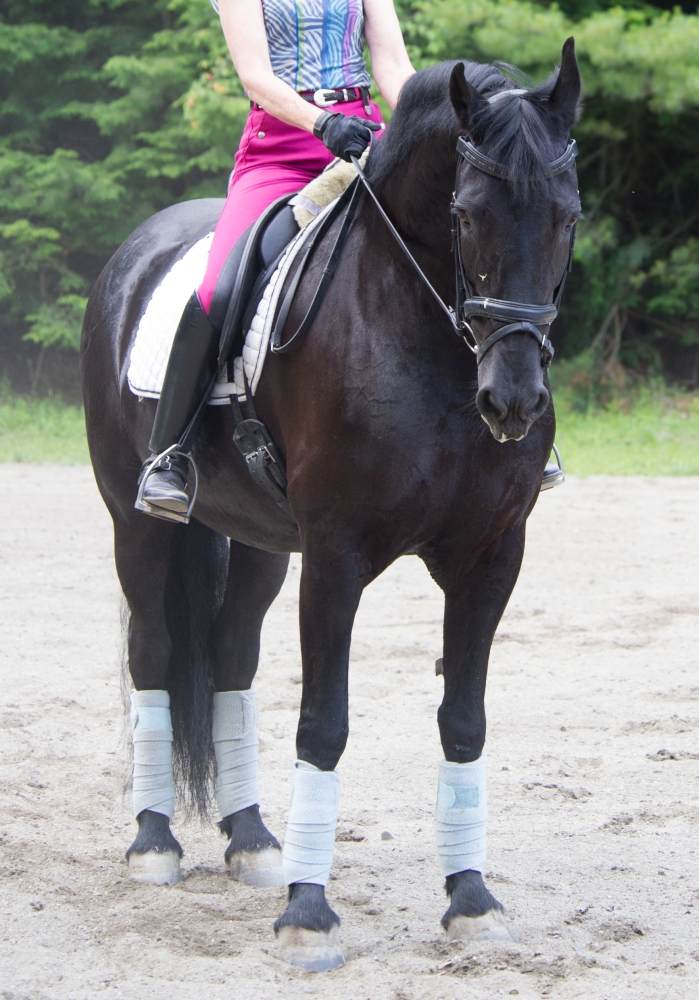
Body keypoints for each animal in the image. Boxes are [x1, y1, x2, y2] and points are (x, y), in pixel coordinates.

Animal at [81, 39, 582, 970]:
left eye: (567, 217)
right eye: (465, 215)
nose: (513, 401)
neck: (428, 342)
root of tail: (137, 249)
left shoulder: (490, 556)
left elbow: (464, 721)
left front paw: (470, 900)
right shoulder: (336, 557)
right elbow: (322, 725)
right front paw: (307, 916)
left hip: (258, 540)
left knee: (231, 657)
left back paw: (250, 839)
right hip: (137, 525)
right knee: (156, 654)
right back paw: (155, 841)